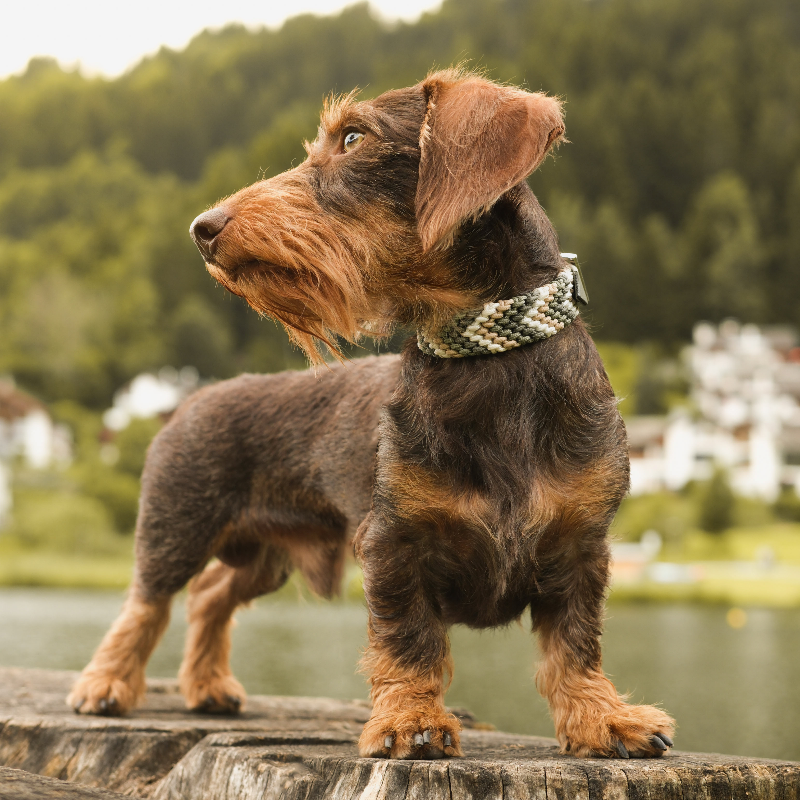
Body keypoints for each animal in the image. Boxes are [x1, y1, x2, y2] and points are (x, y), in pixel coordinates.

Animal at [67, 67, 676, 756]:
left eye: (353, 137)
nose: (203, 227)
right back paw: (106, 684)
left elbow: (574, 645)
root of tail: (195, 397)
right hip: (177, 529)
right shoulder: (393, 543)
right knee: (148, 603)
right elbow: (410, 641)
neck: (488, 360)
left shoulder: (581, 547)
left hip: (267, 551)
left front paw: (602, 717)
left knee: (210, 595)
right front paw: (410, 720)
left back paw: (208, 685)